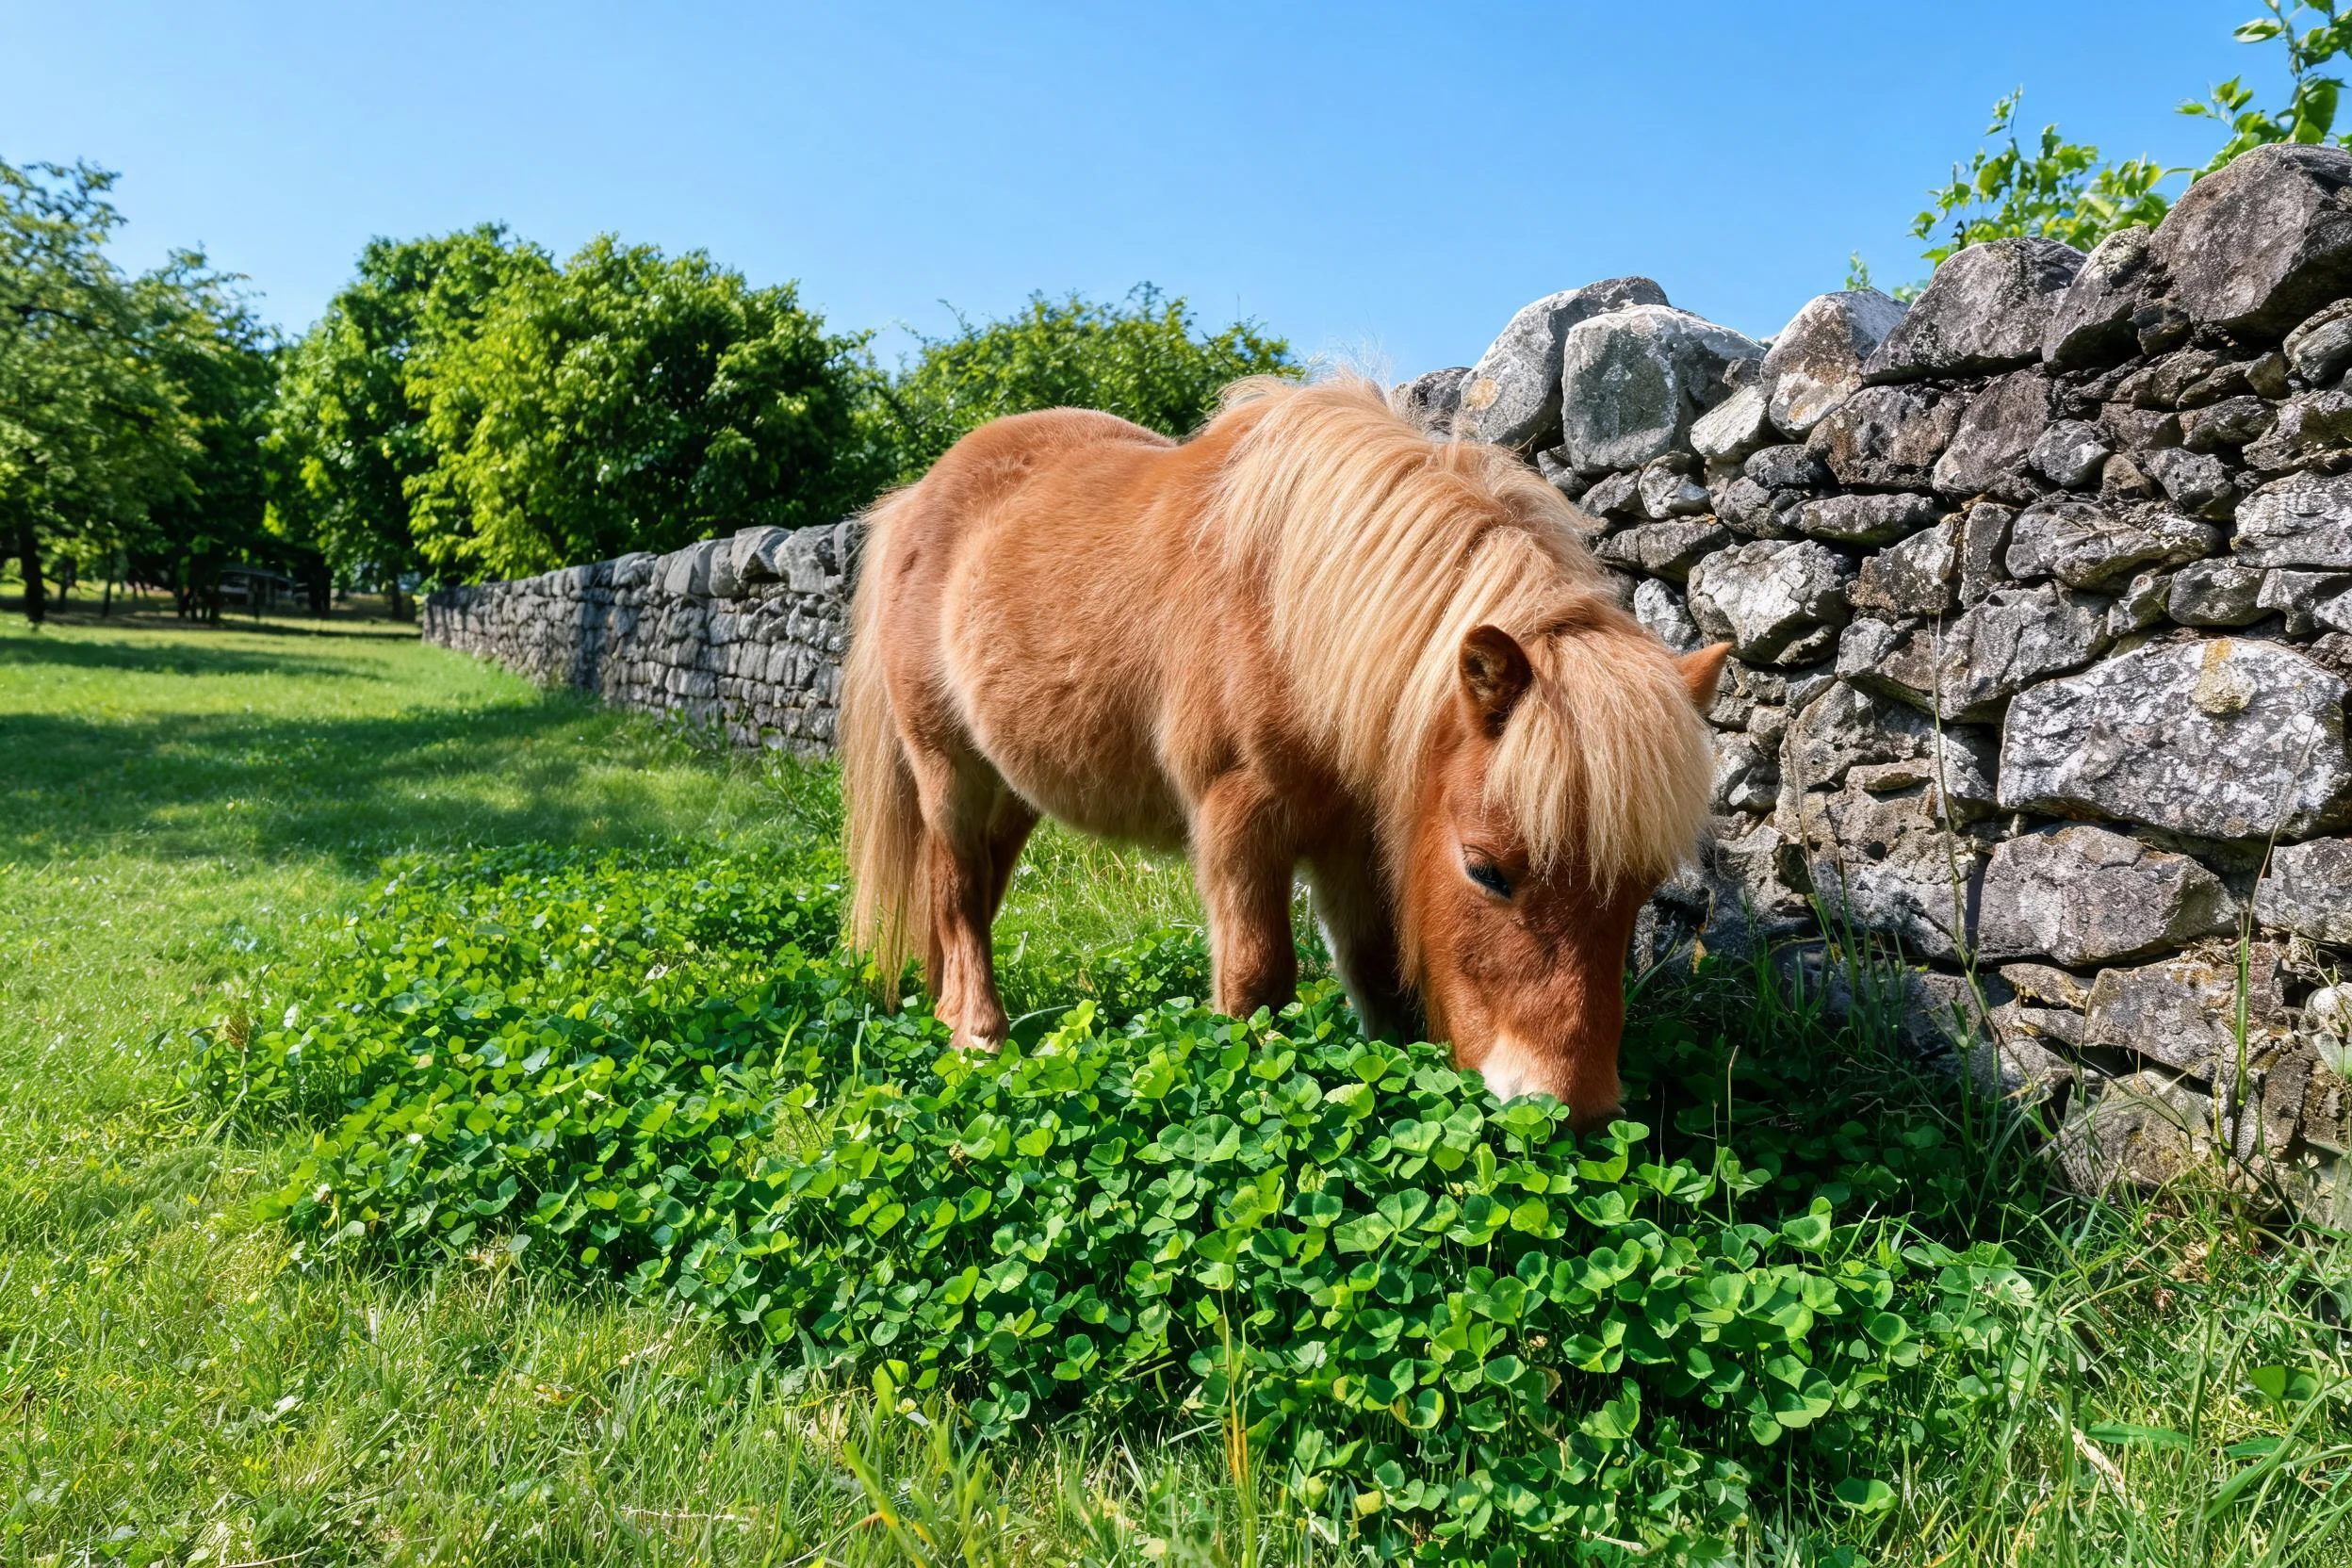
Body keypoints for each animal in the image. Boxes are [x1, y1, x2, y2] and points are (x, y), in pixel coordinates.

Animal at [841, 374, 1727, 1126]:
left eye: (1642, 889)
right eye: (1485, 871)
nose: (1576, 1115)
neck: (1282, 613)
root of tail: (917, 498)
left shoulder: (1357, 838)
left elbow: (1377, 972)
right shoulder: (1241, 822)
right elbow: (1256, 982)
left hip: (1017, 787)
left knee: (972, 897)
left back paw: (947, 1008)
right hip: (947, 770)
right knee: (958, 892)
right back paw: (978, 1039)